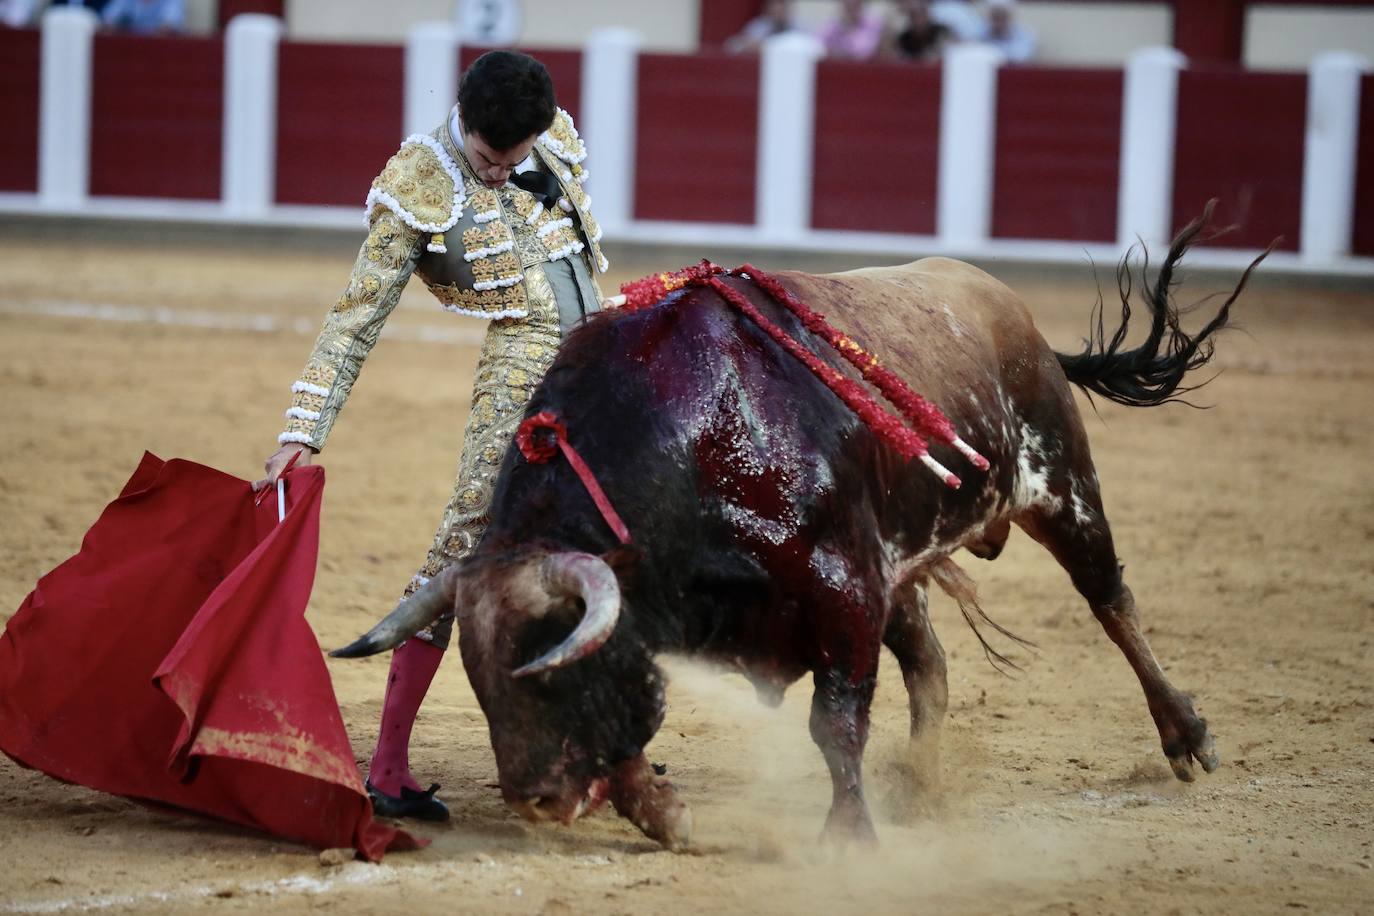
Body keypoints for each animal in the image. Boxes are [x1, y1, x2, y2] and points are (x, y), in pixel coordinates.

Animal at [332, 210, 1264, 851]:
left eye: (549, 664)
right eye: (480, 680)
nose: (534, 799)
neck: (695, 436)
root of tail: (1011, 311)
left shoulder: (842, 587)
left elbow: (835, 722)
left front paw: (846, 837)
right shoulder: (782, 593)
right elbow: (637, 721)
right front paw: (666, 814)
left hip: (1061, 486)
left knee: (1112, 603)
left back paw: (1187, 736)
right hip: (904, 560)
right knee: (932, 664)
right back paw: (920, 785)